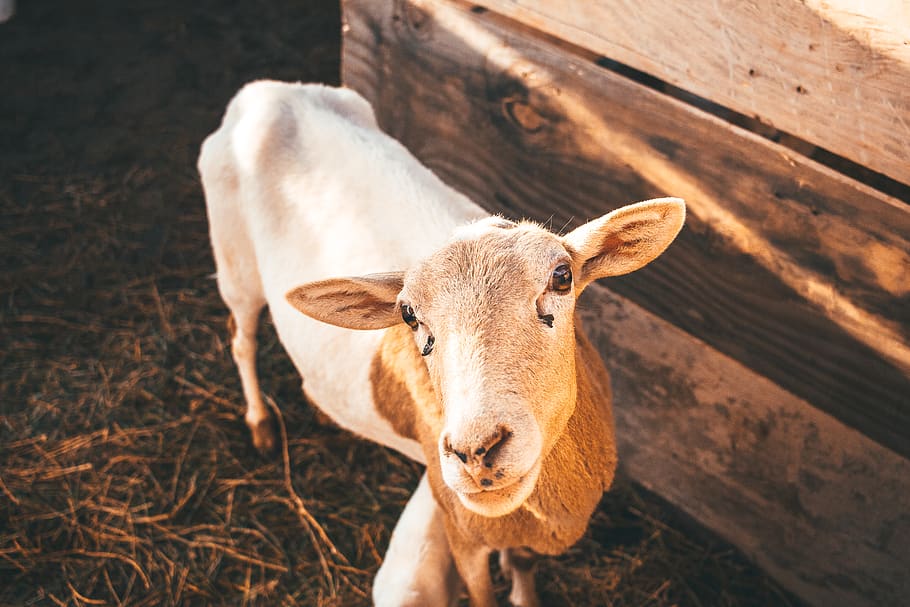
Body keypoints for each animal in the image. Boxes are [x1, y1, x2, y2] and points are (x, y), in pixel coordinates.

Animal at [198, 80, 685, 606]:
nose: (476, 451)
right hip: (234, 260)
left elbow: (523, 564)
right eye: (409, 315)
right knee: (242, 339)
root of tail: (265, 91)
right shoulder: (460, 530)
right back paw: (260, 424)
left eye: (562, 276)